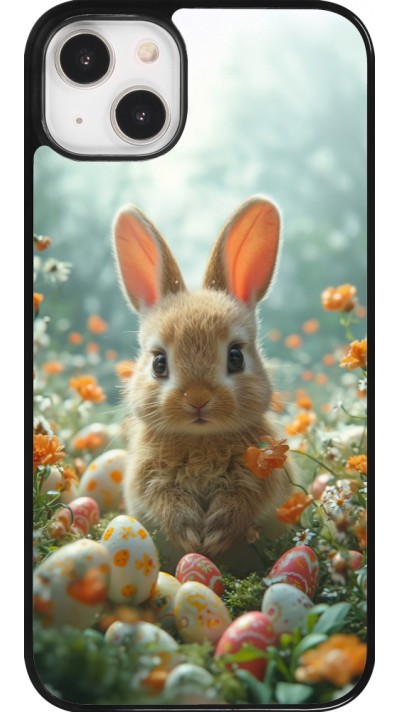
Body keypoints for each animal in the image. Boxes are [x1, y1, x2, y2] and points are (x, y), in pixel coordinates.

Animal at [113, 196, 293, 573]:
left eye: (236, 357)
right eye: (159, 363)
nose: (197, 399)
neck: (201, 438)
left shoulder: (262, 474)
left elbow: (243, 499)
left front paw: (215, 535)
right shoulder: (148, 478)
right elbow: (164, 500)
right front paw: (191, 534)